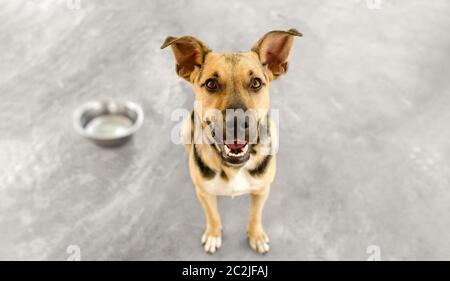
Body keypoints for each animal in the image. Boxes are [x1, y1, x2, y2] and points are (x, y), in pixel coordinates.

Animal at [160, 28, 300, 254]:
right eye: (211, 84)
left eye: (256, 83)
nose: (237, 123)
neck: (234, 167)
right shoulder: (204, 193)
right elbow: (213, 215)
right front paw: (213, 234)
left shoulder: (262, 190)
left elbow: (255, 215)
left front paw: (256, 236)